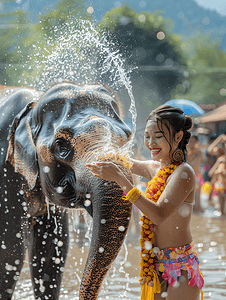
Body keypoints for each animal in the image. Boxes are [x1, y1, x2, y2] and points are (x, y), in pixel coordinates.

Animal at [0, 82, 132, 300]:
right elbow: (11, 249)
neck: (31, 108)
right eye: (61, 146)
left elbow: (52, 249)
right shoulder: (5, 177)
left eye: (125, 139)